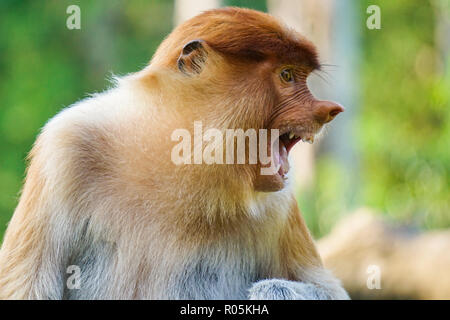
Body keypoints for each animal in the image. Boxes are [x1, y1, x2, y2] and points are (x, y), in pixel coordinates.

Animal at [0, 7, 348, 298]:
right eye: (287, 75)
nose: (329, 109)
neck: (178, 156)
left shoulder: (279, 202)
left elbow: (329, 291)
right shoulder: (66, 147)